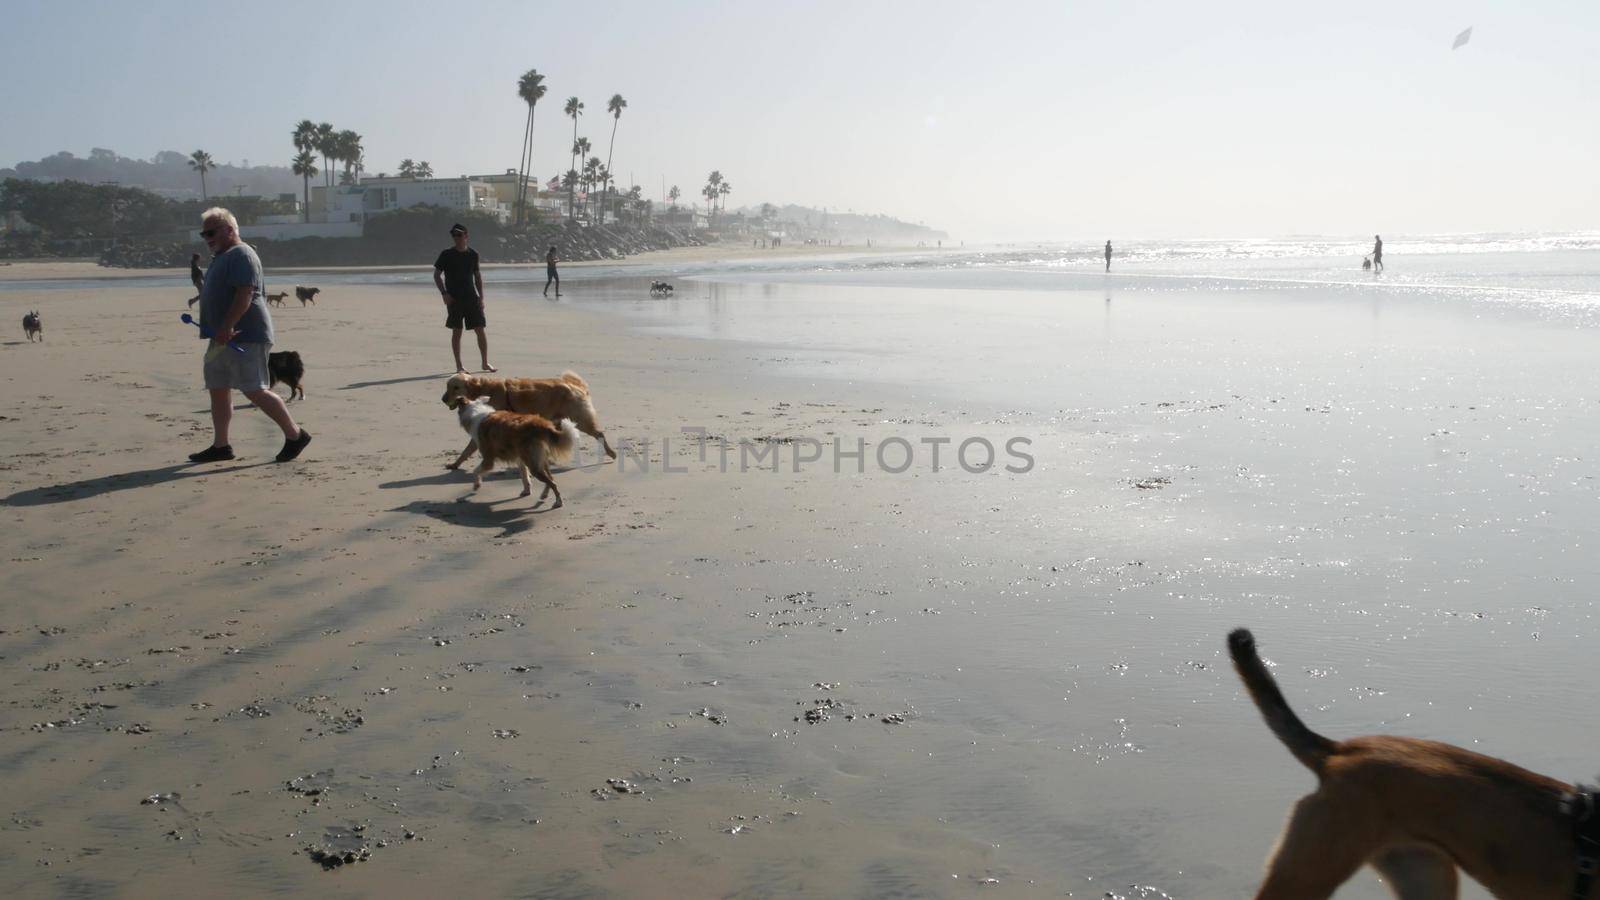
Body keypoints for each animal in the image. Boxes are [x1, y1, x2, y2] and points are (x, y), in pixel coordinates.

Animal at [441, 369, 614, 470]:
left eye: (455, 387)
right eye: (447, 386)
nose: (443, 399)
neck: (482, 389)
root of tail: (575, 385)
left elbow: (470, 447)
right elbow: (467, 450)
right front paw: (455, 464)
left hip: (580, 419)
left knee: (600, 434)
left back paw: (611, 453)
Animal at [448, 395, 579, 509]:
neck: (476, 411)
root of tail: (540, 424)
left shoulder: (488, 459)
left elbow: (476, 471)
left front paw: (476, 485)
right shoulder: (520, 459)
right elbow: (524, 477)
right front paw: (526, 491)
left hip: (534, 464)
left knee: (553, 483)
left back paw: (558, 502)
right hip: (539, 460)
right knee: (551, 478)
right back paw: (544, 495)